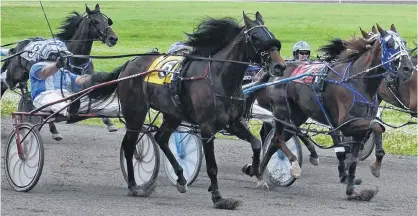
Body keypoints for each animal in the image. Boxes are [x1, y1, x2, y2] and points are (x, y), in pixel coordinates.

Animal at [0, 4, 118, 141]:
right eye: (95, 21)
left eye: (107, 21)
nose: (113, 38)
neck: (76, 58)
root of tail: (17, 47)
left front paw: (109, 122)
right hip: (14, 75)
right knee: (4, 84)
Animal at [88, 12, 288, 209]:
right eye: (256, 37)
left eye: (270, 33)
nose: (280, 66)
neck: (219, 78)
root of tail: (129, 63)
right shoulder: (207, 128)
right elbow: (212, 166)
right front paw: (219, 198)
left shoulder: (232, 122)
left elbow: (256, 143)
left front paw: (253, 169)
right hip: (135, 113)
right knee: (130, 146)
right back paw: (134, 186)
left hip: (173, 114)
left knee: (161, 138)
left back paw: (181, 179)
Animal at [243, 24, 416, 201]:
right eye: (389, 44)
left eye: (404, 42)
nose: (408, 68)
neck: (357, 81)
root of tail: (276, 71)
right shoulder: (345, 124)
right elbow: (377, 126)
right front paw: (374, 166)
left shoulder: (358, 127)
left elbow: (359, 152)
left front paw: (352, 189)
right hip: (281, 111)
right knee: (277, 139)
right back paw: (293, 165)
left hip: (297, 116)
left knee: (274, 142)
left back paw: (259, 173)